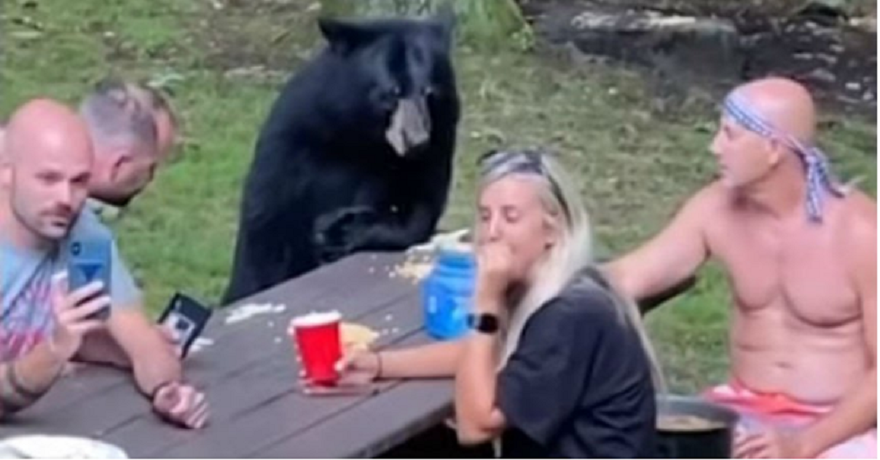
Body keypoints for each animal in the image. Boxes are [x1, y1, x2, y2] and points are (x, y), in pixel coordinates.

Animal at [222, 12, 461, 305]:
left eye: (430, 92)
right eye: (391, 93)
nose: (417, 141)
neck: (359, 134)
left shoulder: (441, 138)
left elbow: (421, 206)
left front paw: (344, 229)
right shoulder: (293, 137)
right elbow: (267, 225)